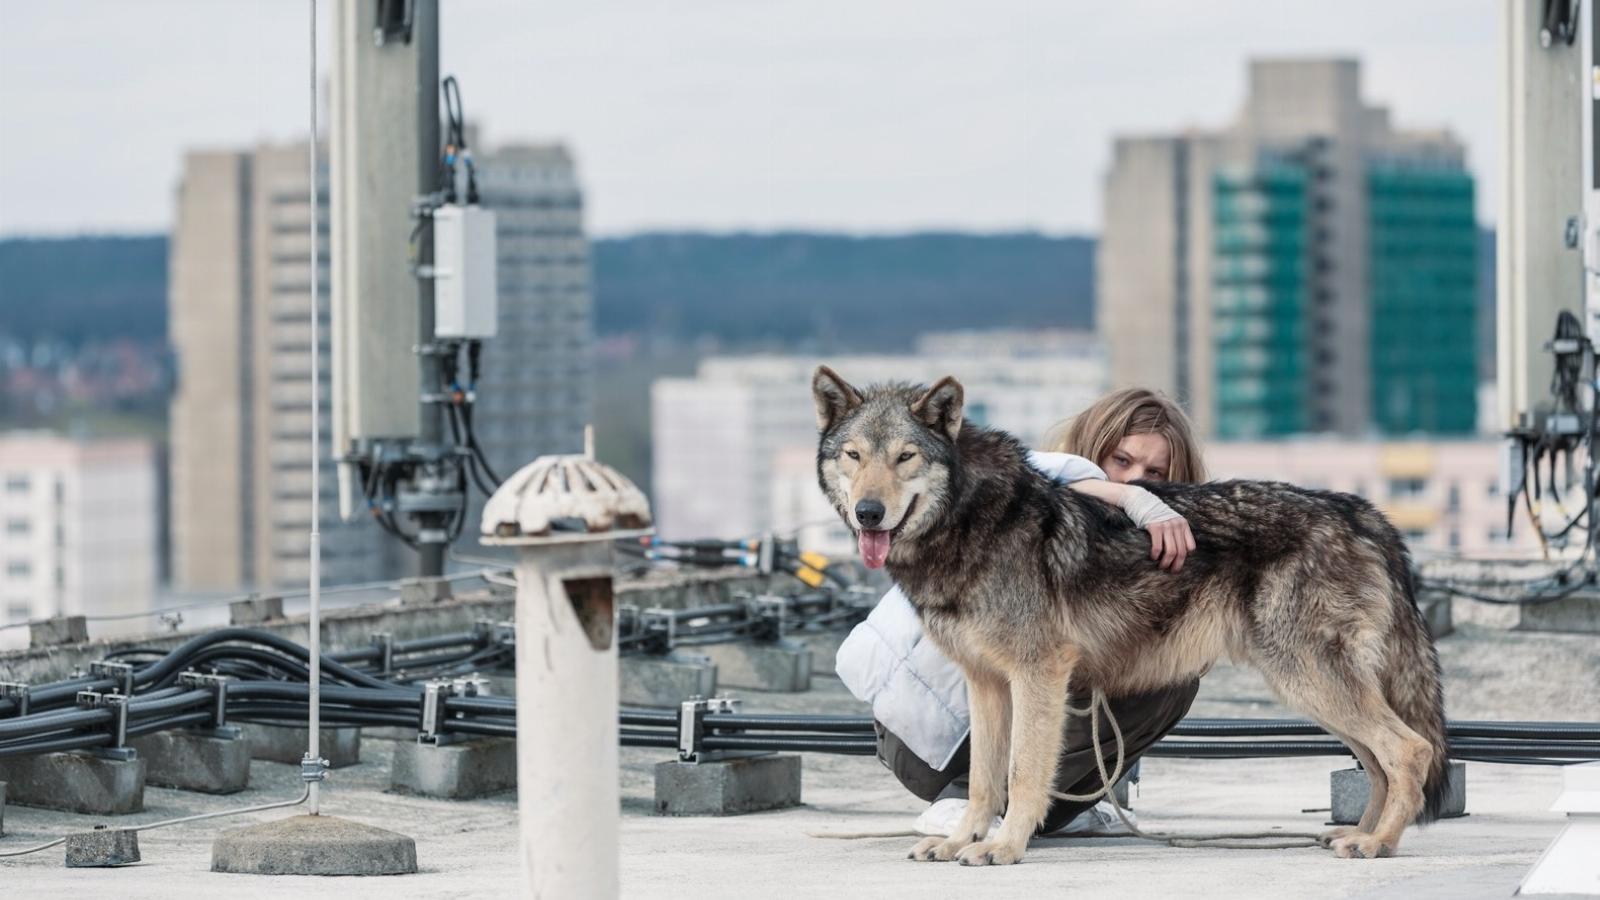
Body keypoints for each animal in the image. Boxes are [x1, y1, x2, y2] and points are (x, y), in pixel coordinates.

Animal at [812, 365, 1452, 864]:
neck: (969, 520)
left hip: (1307, 681)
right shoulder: (986, 682)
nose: (869, 513)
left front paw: (1005, 847)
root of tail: (1357, 509)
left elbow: (1022, 773)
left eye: (905, 457)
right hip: (1312, 690)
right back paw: (1359, 836)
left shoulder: (1038, 673)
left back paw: (1378, 844)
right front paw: (960, 841)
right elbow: (983, 782)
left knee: (1410, 751)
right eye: (854, 456)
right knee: (1377, 762)